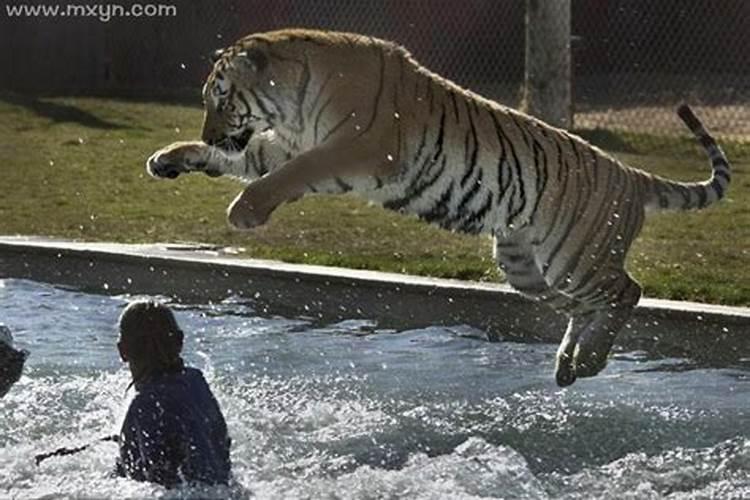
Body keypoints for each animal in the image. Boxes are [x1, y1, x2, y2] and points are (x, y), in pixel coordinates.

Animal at [145, 28, 728, 386]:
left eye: (221, 98)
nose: (210, 130)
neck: (292, 98)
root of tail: (630, 174)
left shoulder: (350, 148)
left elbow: (284, 177)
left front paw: (243, 210)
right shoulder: (283, 144)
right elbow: (242, 160)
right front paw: (167, 158)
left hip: (574, 255)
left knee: (627, 291)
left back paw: (587, 361)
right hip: (528, 266)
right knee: (586, 307)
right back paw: (571, 365)